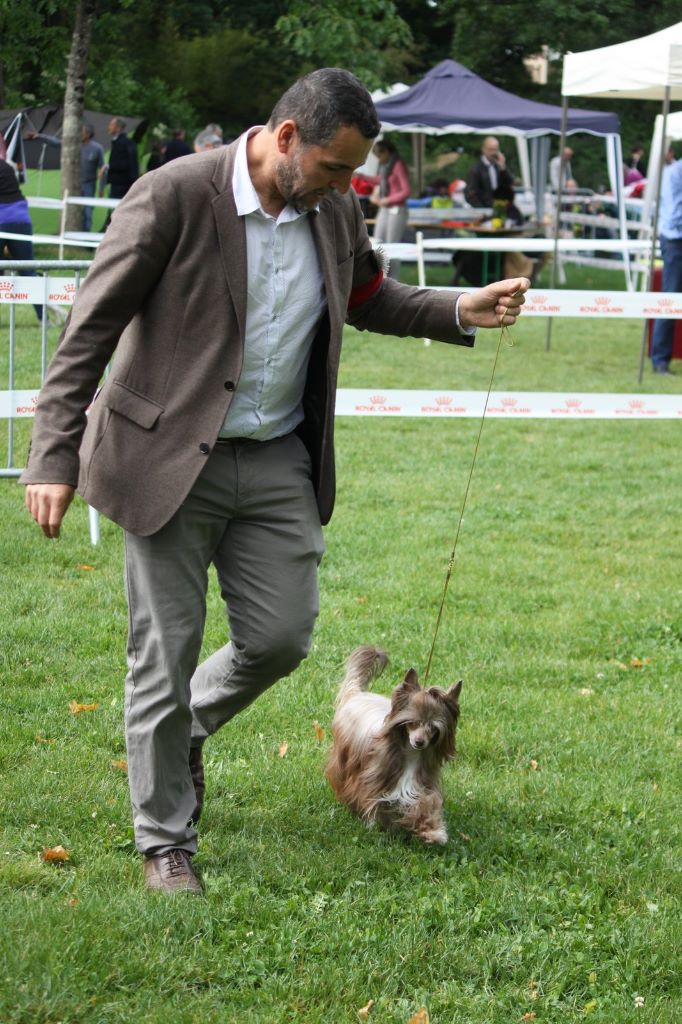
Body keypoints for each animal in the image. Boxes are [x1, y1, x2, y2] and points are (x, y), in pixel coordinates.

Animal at [325, 643, 462, 843]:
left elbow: (427, 803)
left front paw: (433, 831)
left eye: (433, 727)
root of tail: (356, 694)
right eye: (411, 722)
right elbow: (374, 801)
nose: (419, 742)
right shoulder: (375, 778)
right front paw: (377, 825)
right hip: (344, 757)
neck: (411, 754)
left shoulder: (420, 785)